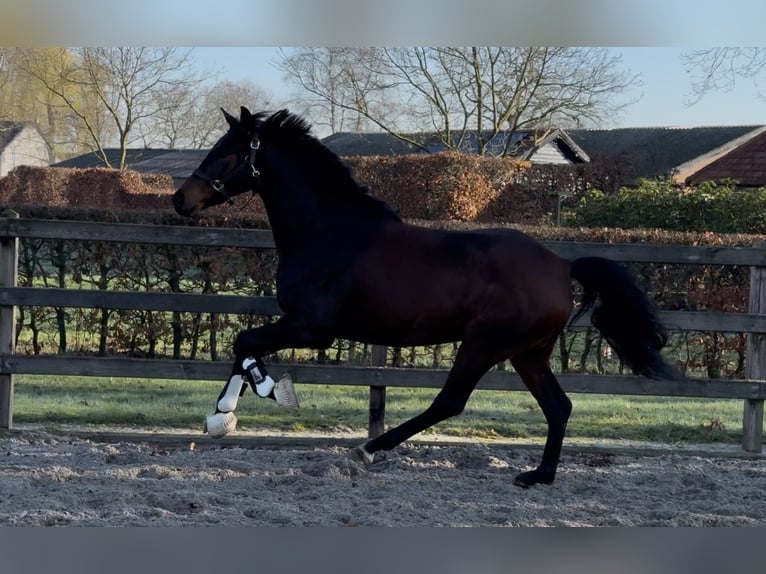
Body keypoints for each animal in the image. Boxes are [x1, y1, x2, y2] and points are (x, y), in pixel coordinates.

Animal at [172, 107, 678, 488]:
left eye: (228, 152)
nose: (180, 199)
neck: (328, 234)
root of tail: (562, 266)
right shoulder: (302, 327)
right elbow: (244, 348)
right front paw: (233, 409)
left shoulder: (312, 328)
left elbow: (244, 343)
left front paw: (242, 406)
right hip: (528, 353)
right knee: (559, 406)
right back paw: (538, 476)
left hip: (484, 344)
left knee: (450, 402)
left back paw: (368, 449)